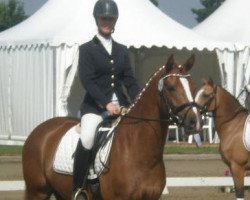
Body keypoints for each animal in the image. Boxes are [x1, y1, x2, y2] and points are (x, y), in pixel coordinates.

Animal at [22, 54, 202, 200]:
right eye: (171, 88)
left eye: (193, 88)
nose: (195, 122)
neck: (139, 151)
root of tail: (39, 130)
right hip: (37, 192)